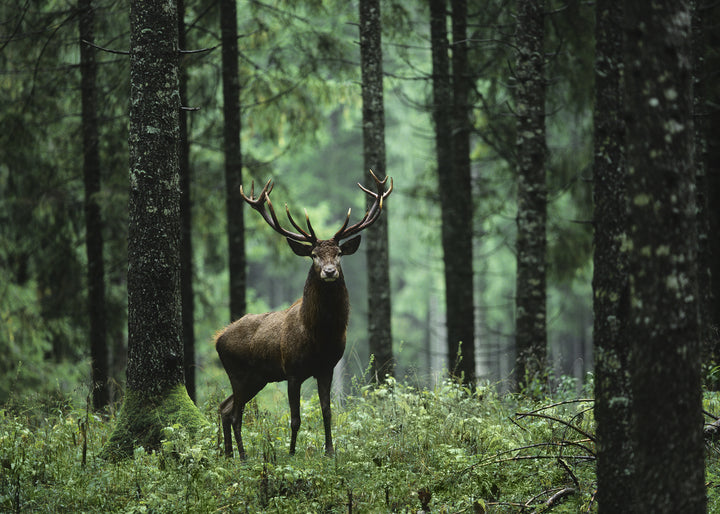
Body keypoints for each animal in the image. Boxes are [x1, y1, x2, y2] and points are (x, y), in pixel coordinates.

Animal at [215, 170, 393, 459]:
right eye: (313, 255)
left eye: (339, 253)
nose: (330, 271)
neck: (319, 335)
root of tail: (217, 338)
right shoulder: (293, 370)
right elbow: (295, 418)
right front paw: (290, 453)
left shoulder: (327, 367)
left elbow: (327, 411)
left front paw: (330, 451)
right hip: (238, 372)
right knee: (234, 413)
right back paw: (242, 457)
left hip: (257, 378)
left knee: (225, 407)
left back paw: (230, 455)